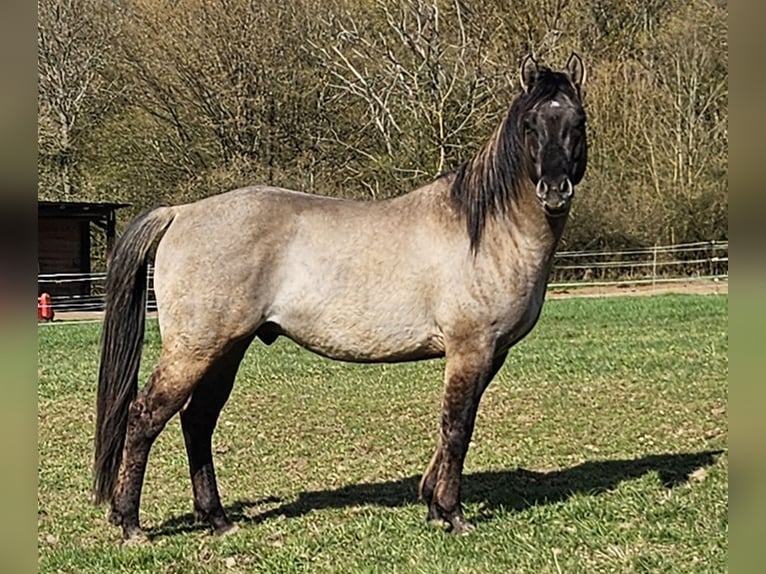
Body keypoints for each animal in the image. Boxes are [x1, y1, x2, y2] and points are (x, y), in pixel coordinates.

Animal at [93, 53, 588, 543]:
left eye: (577, 121)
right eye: (530, 124)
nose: (554, 190)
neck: (484, 232)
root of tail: (181, 213)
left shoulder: (490, 354)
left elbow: (450, 426)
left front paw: (431, 503)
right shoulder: (471, 348)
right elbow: (457, 426)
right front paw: (452, 513)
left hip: (227, 348)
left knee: (198, 420)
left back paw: (216, 518)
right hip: (194, 349)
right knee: (145, 417)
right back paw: (130, 523)